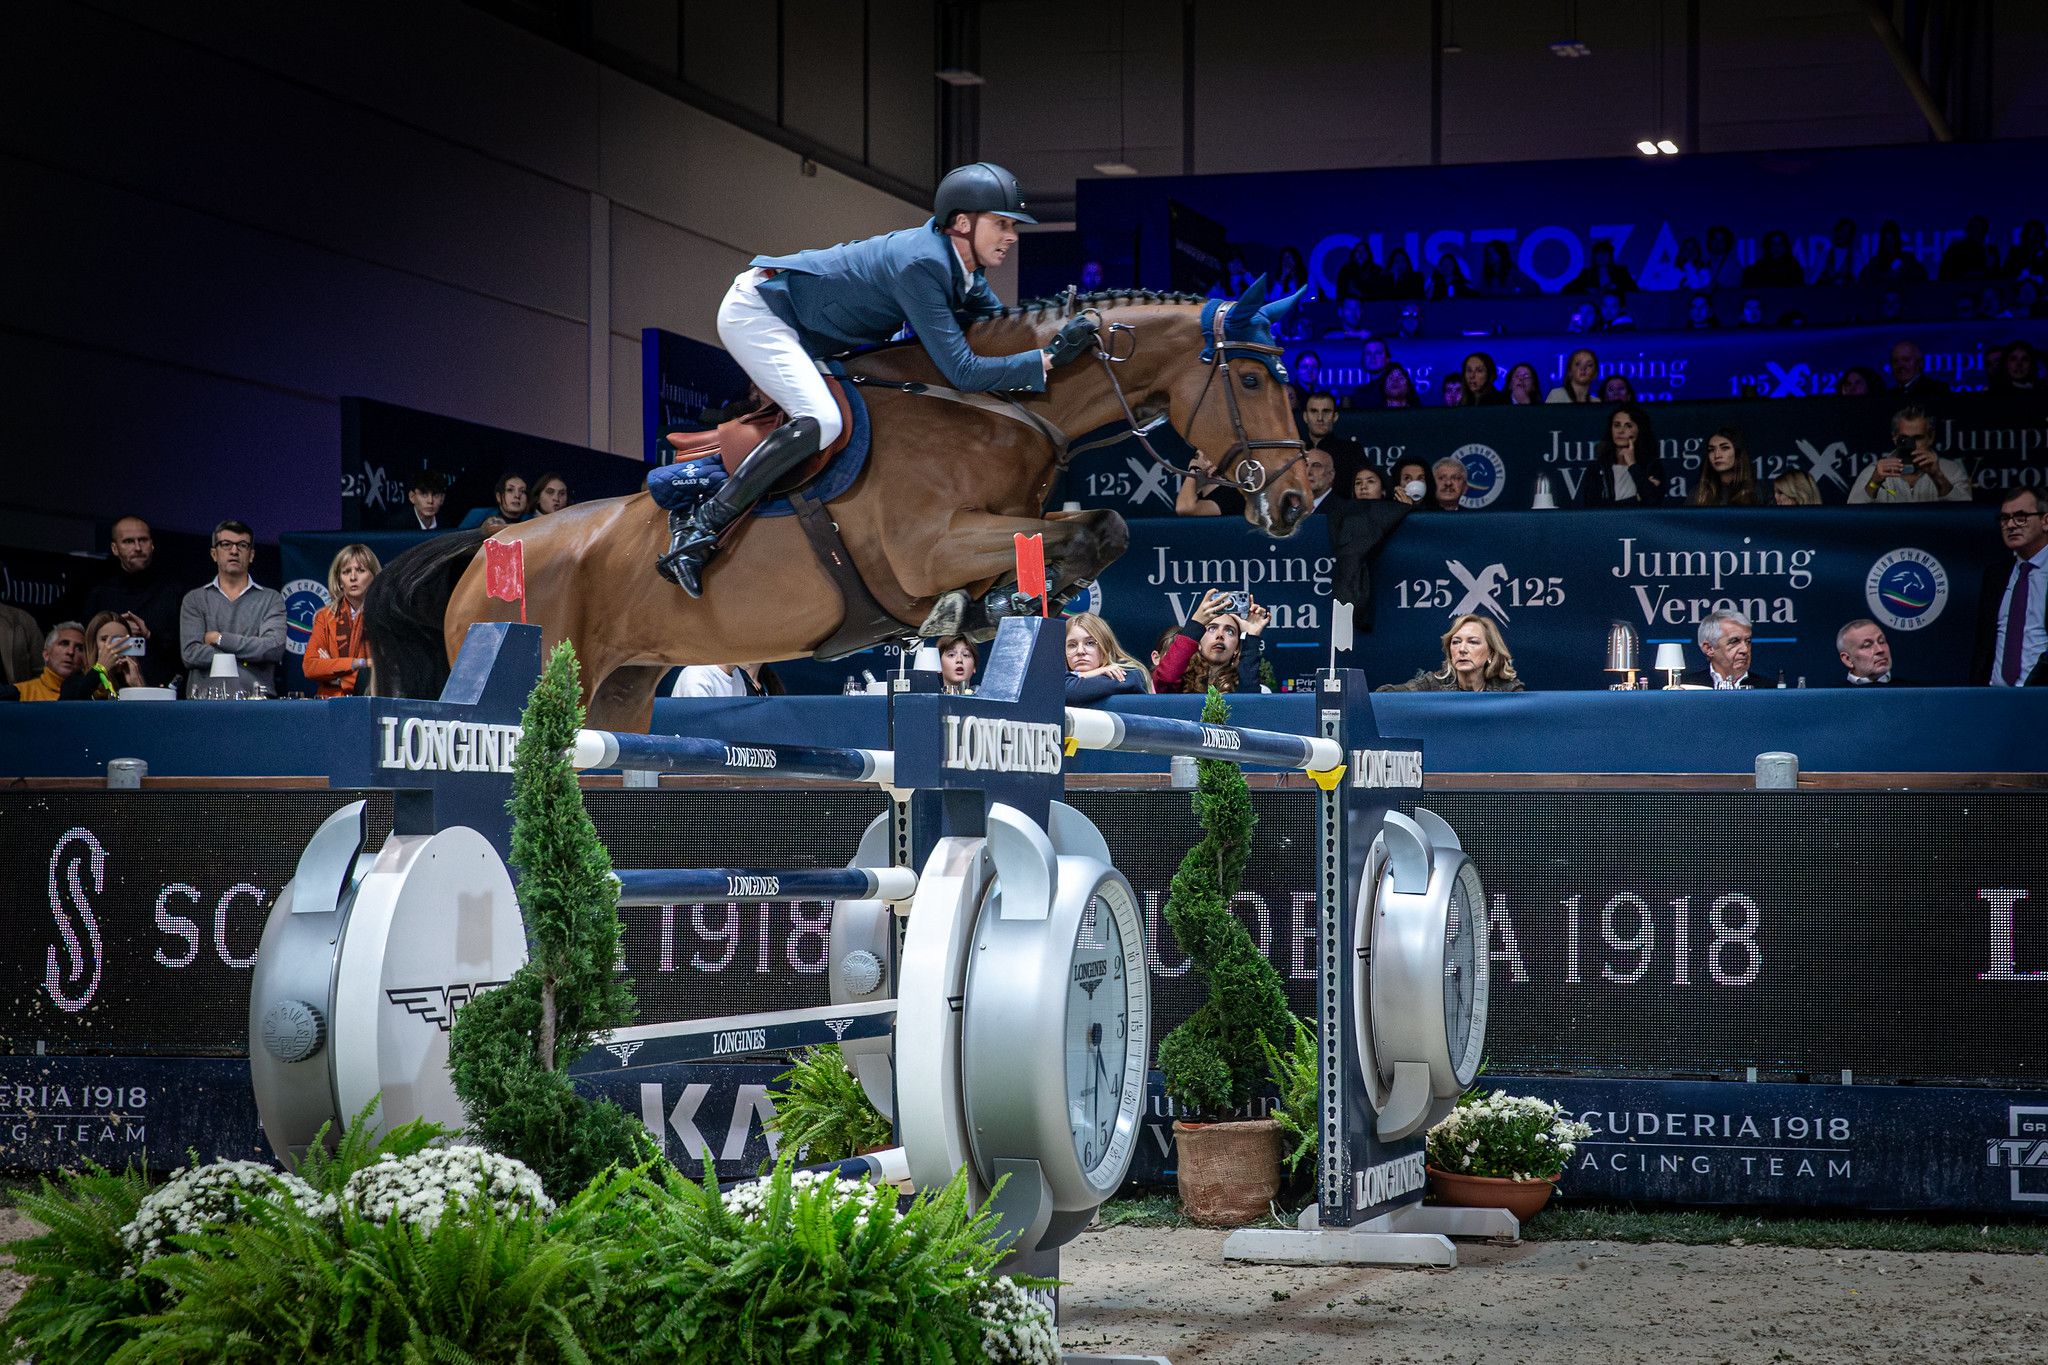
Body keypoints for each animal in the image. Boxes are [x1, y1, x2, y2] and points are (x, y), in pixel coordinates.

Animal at [366, 280, 1310, 736]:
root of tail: (488, 547)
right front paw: (977, 608)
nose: (1299, 496)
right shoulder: (929, 544)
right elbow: (1090, 529)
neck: (996, 402)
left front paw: (985, 610)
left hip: (621, 692)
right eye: (1251, 377)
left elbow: (1092, 530)